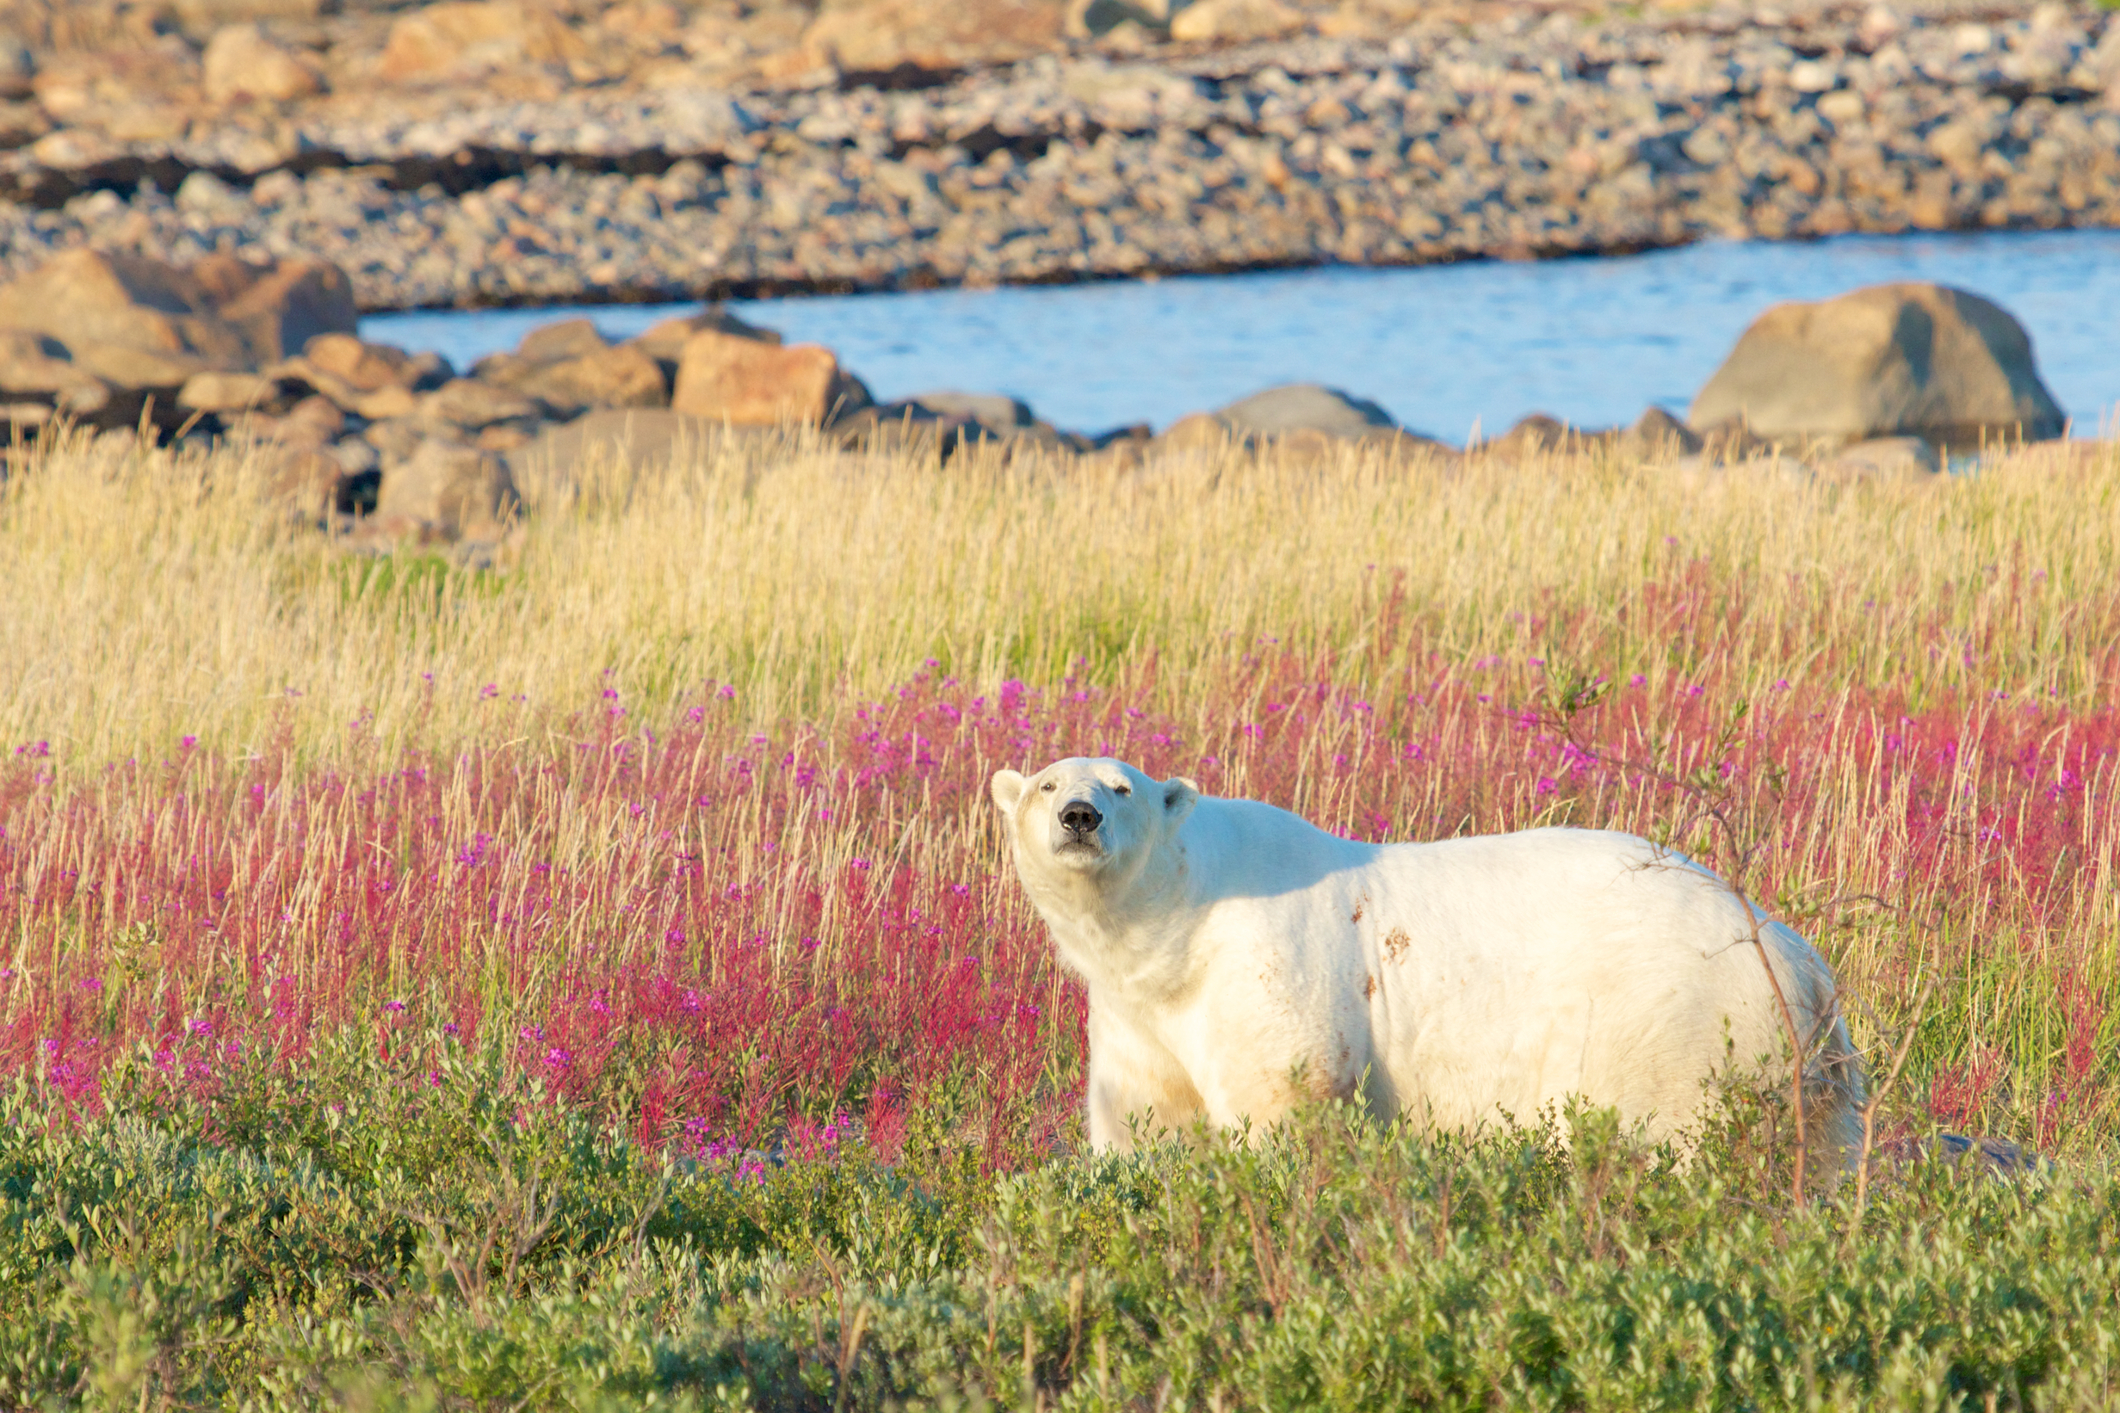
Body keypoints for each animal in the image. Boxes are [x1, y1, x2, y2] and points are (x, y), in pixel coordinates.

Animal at [983, 758, 1865, 1152]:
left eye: (1122, 786)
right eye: (1045, 784)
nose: (1079, 815)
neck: (1178, 926)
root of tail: (1797, 956)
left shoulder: (1267, 966)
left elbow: (1284, 1103)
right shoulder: (1139, 1015)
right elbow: (1144, 1121)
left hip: (1679, 1019)